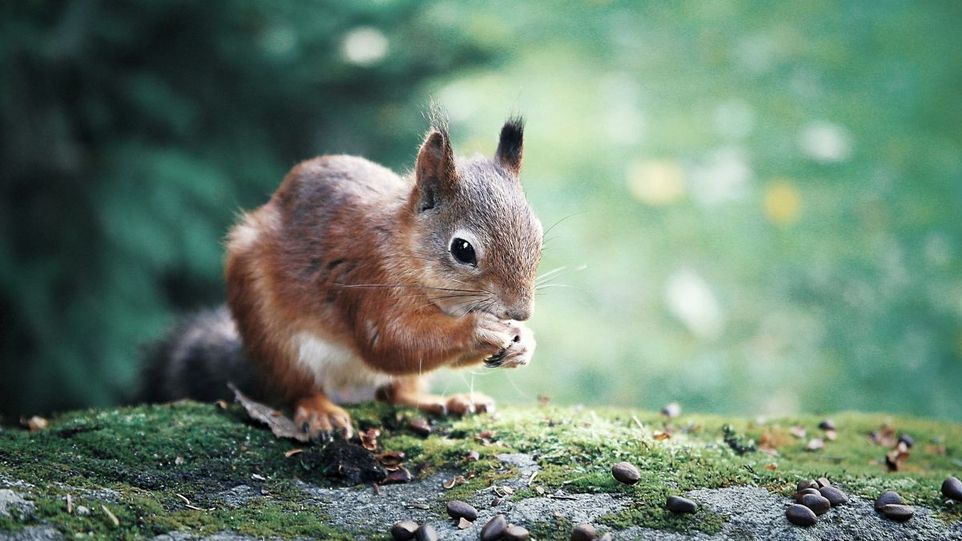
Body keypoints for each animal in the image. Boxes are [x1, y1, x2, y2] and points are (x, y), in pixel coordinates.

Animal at [140, 113, 543, 440]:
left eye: (537, 234)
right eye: (462, 249)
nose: (521, 312)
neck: (403, 247)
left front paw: (524, 342)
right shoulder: (368, 279)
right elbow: (391, 343)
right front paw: (480, 329)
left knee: (399, 392)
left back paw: (446, 401)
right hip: (274, 336)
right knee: (299, 388)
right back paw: (321, 413)